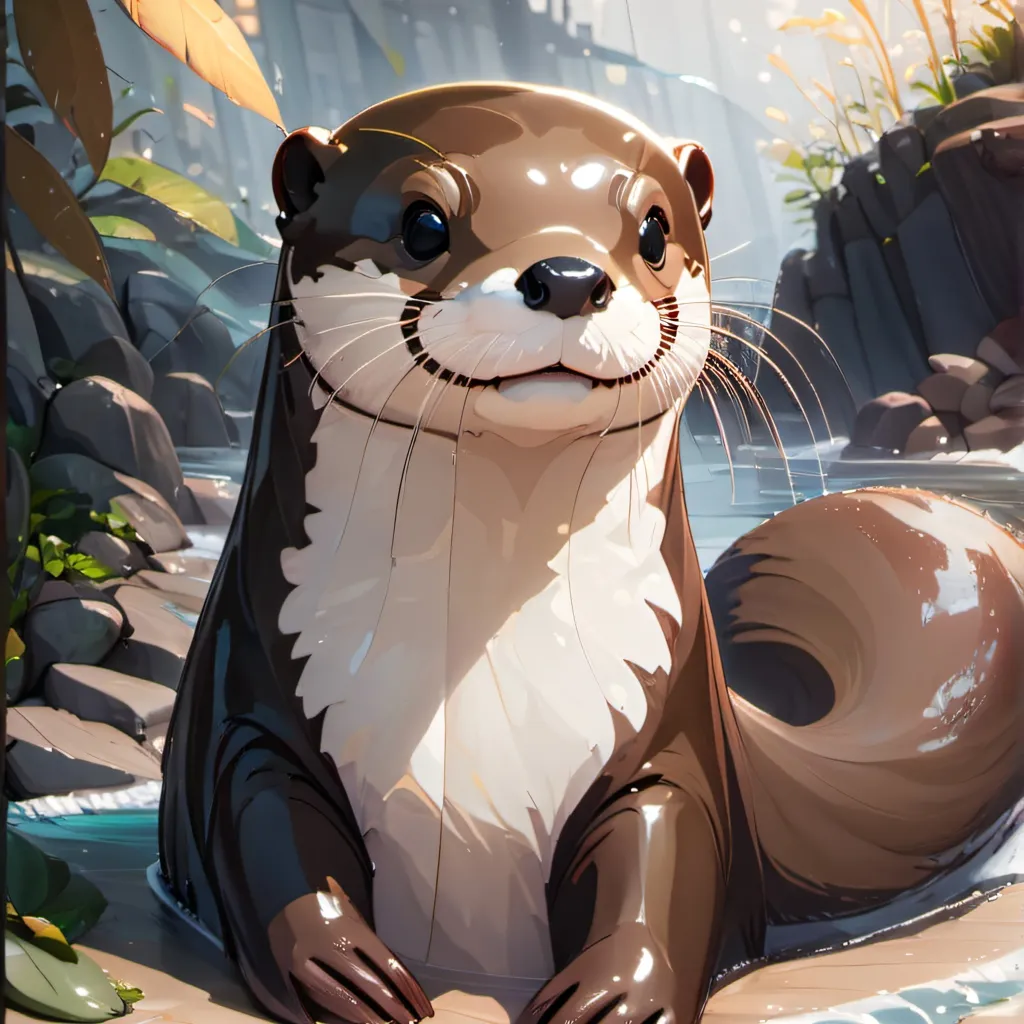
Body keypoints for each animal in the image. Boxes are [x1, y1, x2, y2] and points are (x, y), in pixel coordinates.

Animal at [154, 82, 1024, 1024]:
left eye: (652, 228)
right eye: (423, 222)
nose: (568, 276)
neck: (483, 699)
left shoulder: (665, 736)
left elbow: (662, 842)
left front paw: (615, 992)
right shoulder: (250, 694)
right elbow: (259, 820)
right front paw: (346, 972)